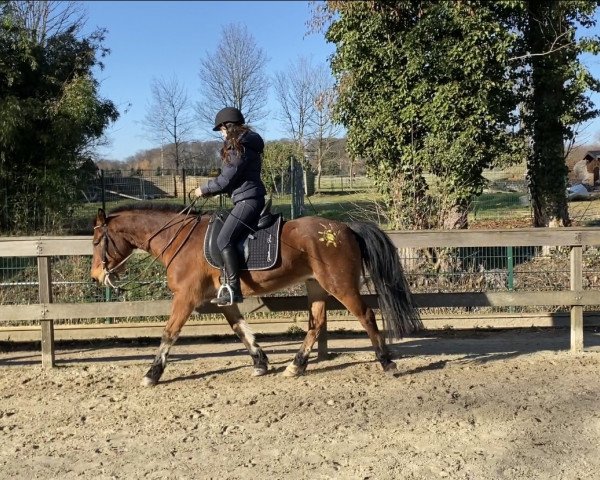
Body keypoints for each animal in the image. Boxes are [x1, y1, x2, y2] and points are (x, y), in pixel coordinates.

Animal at [91, 202, 422, 386]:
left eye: (96, 241)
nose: (96, 277)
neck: (179, 240)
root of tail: (346, 228)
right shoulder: (223, 299)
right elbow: (240, 329)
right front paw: (260, 363)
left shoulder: (185, 297)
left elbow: (169, 333)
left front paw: (152, 374)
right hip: (316, 285)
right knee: (315, 324)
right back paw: (295, 366)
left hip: (339, 285)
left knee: (366, 315)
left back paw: (387, 363)